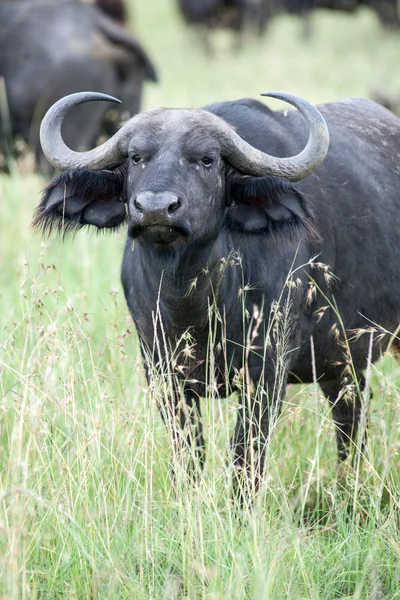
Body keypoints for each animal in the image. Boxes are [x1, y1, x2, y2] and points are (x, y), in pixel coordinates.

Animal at [33, 89, 400, 502]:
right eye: (136, 157)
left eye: (207, 160)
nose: (155, 208)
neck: (193, 302)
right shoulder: (163, 374)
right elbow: (189, 451)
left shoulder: (265, 375)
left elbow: (245, 458)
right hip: (342, 362)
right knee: (349, 417)